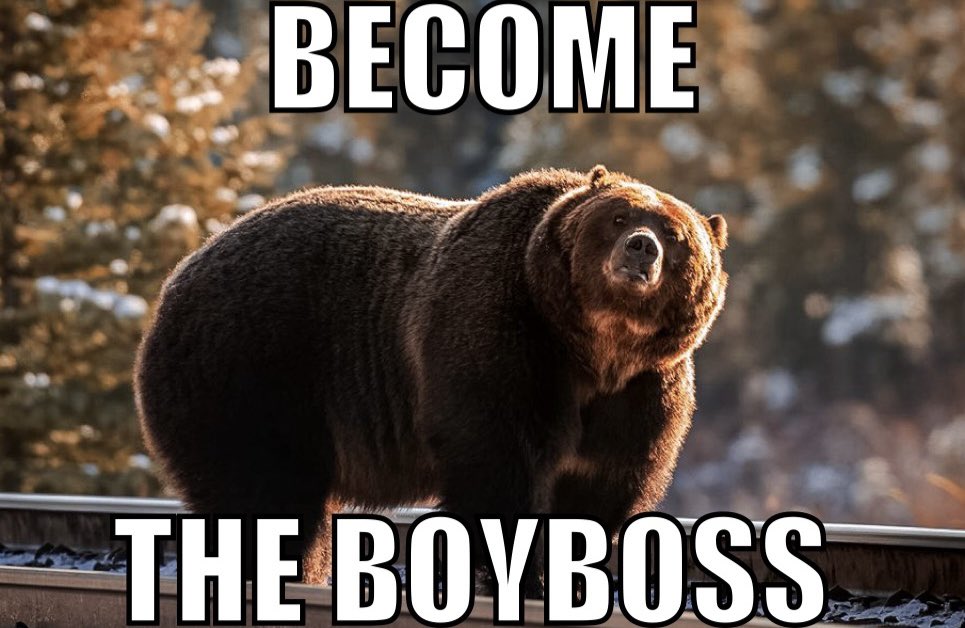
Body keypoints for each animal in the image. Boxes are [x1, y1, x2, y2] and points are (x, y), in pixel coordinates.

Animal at [135, 166, 728, 589]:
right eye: (619, 218)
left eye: (675, 233)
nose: (641, 247)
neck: (594, 348)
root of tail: (178, 276)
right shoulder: (499, 337)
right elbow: (498, 460)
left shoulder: (642, 391)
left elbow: (603, 483)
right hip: (251, 370)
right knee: (266, 494)